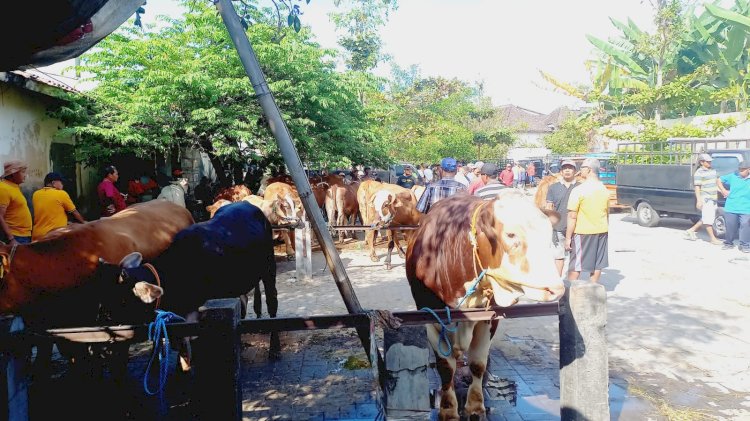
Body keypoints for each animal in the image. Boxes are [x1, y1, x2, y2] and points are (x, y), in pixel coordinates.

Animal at [408, 191, 568, 420]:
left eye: (548, 235)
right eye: (510, 234)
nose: (555, 289)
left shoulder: (488, 319)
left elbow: (478, 364)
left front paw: (475, 405)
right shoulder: (430, 317)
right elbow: (445, 367)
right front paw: (448, 408)